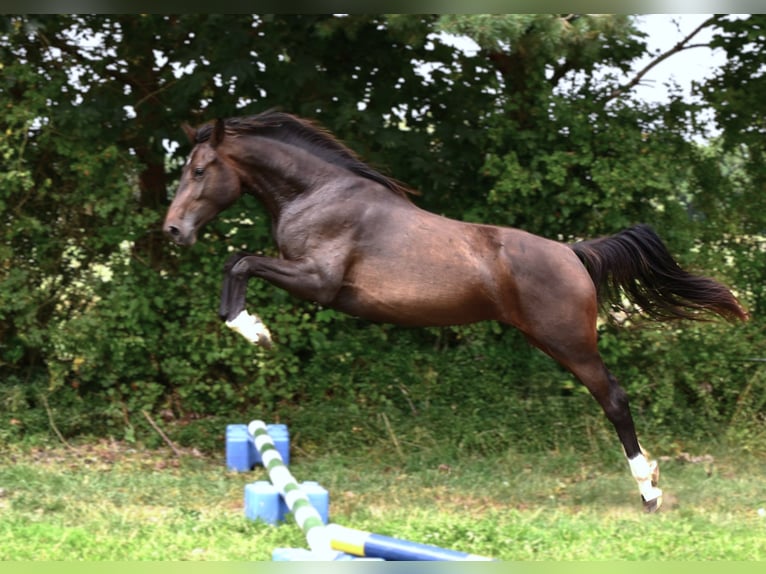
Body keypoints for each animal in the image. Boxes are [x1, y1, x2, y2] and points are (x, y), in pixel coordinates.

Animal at [164, 109, 752, 512]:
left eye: (200, 170)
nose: (172, 231)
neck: (318, 193)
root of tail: (573, 253)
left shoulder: (319, 282)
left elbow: (240, 262)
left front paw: (256, 331)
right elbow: (235, 264)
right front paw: (251, 329)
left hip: (570, 343)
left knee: (614, 398)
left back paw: (648, 490)